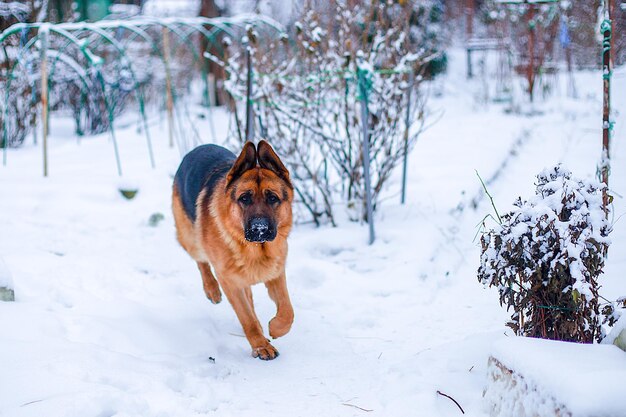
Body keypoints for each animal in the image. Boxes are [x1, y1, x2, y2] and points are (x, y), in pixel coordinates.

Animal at [172, 141, 294, 360]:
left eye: (273, 198)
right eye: (244, 199)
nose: (260, 229)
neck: (254, 249)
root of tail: (199, 148)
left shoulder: (276, 274)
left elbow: (288, 310)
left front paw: (276, 328)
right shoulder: (229, 282)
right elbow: (247, 319)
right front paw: (261, 346)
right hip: (191, 240)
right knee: (201, 261)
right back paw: (211, 289)